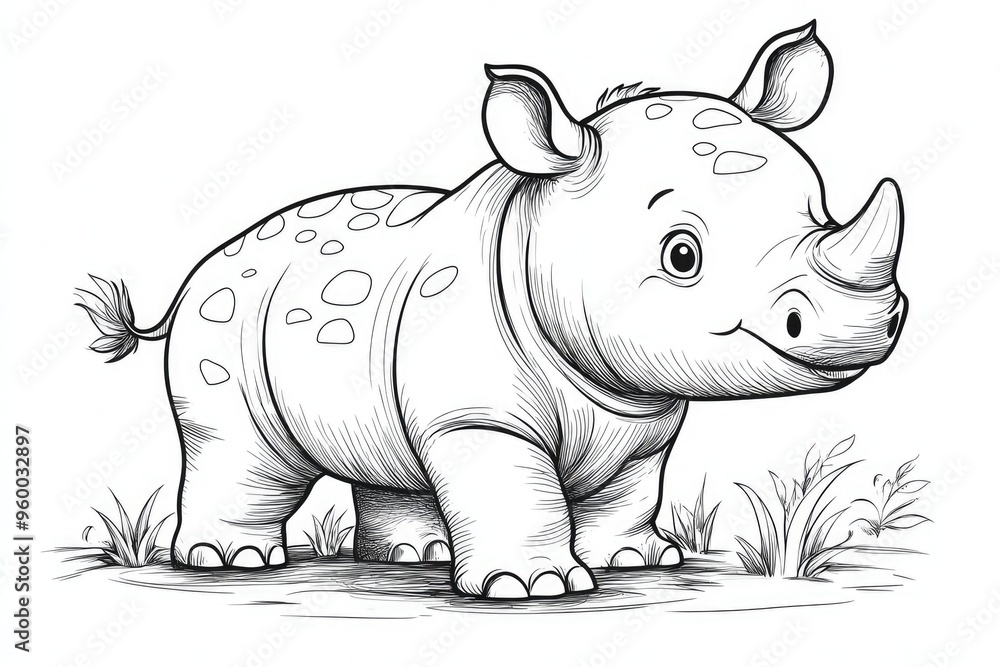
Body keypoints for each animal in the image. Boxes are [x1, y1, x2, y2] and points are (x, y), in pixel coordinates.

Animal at [78, 21, 906, 599]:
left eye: (819, 213)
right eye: (682, 255)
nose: (865, 327)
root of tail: (197, 272)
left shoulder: (644, 420)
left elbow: (628, 491)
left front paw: (635, 559)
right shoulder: (479, 414)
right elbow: (518, 485)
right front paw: (534, 587)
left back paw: (414, 556)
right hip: (223, 318)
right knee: (239, 447)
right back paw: (233, 562)